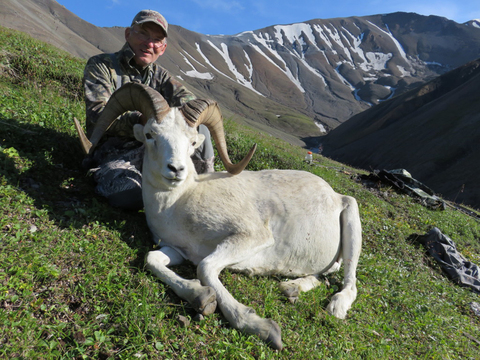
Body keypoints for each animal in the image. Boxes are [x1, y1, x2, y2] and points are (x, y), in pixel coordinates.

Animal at [75, 83, 362, 350]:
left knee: (350, 281)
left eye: (192, 142)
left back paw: (336, 308)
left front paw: (260, 327)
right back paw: (291, 289)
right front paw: (199, 296)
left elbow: (205, 267)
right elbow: (151, 259)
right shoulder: (177, 250)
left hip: (352, 220)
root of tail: (335, 195)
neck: (178, 204)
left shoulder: (251, 237)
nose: (176, 169)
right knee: (322, 276)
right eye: (149, 134)